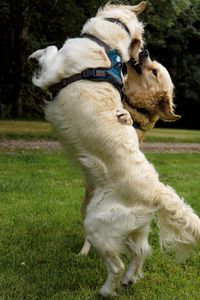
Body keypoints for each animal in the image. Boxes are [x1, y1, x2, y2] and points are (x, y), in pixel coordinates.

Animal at [29, 2, 200, 298]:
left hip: (97, 225)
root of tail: (157, 191)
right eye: (141, 46)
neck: (104, 43)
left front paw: (33, 55)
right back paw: (130, 279)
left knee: (117, 264)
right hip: (134, 227)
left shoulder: (53, 68)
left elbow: (49, 50)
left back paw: (108, 289)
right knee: (141, 252)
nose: (143, 53)